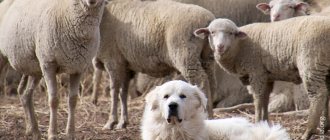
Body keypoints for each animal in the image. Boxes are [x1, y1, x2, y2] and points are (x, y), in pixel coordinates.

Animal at [0, 0, 105, 138]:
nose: (91, 1)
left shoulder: (78, 67)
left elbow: (73, 100)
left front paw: (70, 134)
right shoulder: (49, 64)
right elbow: (54, 100)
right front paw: (52, 134)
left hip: (34, 67)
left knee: (25, 93)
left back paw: (34, 131)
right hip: (8, 58)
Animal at [94, 0, 215, 130]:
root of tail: (208, 21)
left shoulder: (113, 61)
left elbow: (114, 92)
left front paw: (111, 122)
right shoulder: (126, 65)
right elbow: (123, 93)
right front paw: (123, 122)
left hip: (185, 54)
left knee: (201, 81)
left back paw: (205, 115)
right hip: (207, 57)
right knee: (210, 81)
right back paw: (212, 116)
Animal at [193, 17, 330, 139]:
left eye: (231, 33)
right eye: (212, 32)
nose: (220, 46)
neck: (239, 46)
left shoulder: (256, 72)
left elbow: (258, 100)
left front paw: (257, 123)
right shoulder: (266, 75)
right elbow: (264, 99)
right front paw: (265, 124)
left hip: (311, 63)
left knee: (318, 95)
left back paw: (308, 132)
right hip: (325, 68)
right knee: (327, 94)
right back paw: (325, 127)